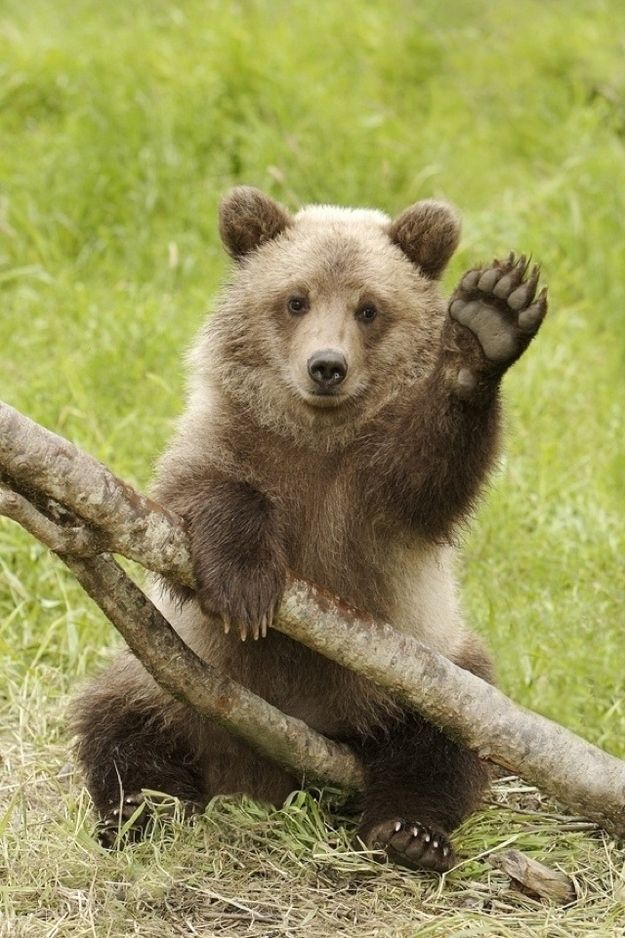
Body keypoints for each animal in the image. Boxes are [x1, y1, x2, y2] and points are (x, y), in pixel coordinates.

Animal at [72, 186, 547, 873]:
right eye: (295, 299)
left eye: (369, 308)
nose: (327, 366)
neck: (317, 437)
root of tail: (266, 773)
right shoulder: (228, 441)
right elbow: (196, 505)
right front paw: (245, 588)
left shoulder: (374, 491)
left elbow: (432, 473)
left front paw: (487, 323)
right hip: (171, 681)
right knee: (120, 724)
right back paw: (141, 811)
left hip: (417, 674)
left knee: (445, 737)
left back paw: (409, 832)